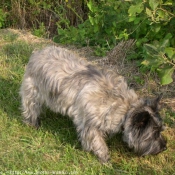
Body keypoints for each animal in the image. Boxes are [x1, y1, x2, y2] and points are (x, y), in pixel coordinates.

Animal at [19, 45, 166, 163]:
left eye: (160, 130)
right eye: (154, 134)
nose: (165, 147)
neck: (126, 108)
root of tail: (37, 53)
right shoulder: (90, 125)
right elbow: (98, 142)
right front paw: (105, 158)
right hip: (33, 91)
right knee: (30, 107)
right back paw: (33, 123)